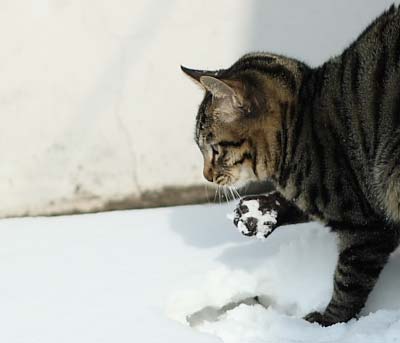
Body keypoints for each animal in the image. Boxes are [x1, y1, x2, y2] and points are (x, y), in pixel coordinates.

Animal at [182, 5, 400, 326]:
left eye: (214, 150)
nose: (205, 175)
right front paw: (258, 213)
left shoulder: (365, 226)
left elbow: (349, 281)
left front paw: (326, 322)